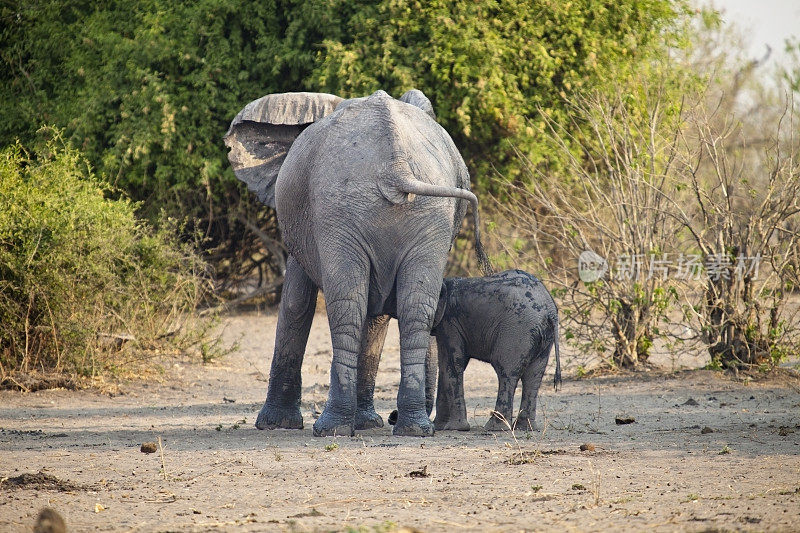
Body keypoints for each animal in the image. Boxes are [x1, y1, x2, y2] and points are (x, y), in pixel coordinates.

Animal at [222, 88, 490, 436]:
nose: (391, 416)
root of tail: (395, 166)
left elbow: (296, 302)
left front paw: (274, 425)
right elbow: (374, 315)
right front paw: (366, 424)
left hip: (345, 209)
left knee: (347, 306)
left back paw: (331, 428)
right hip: (416, 212)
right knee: (413, 307)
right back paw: (411, 429)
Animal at [432, 268, 564, 430]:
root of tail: (550, 310)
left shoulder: (450, 322)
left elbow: (452, 364)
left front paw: (455, 428)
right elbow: (445, 365)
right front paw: (439, 426)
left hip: (517, 329)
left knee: (506, 372)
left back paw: (495, 427)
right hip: (543, 336)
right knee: (533, 375)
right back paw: (525, 427)